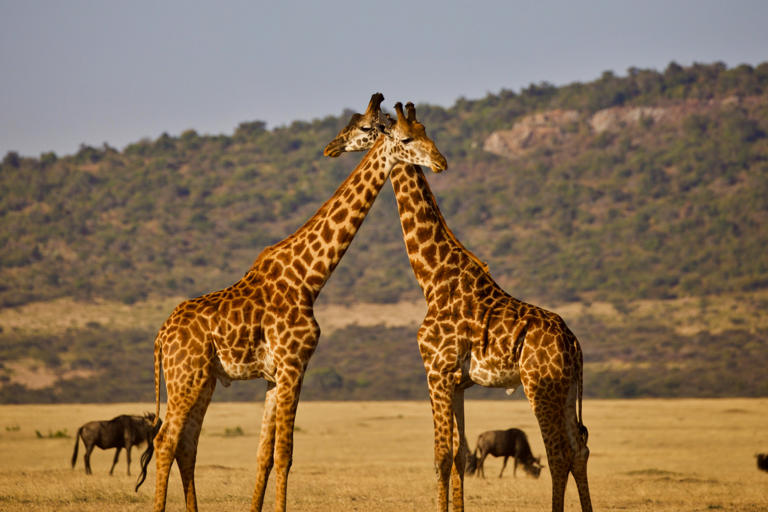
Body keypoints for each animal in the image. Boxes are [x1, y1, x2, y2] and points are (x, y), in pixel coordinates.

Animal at [144, 93, 448, 512]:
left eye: (425, 131)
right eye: (404, 138)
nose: (441, 161)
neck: (309, 278)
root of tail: (160, 337)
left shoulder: (275, 376)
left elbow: (264, 455)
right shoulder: (293, 365)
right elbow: (285, 454)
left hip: (201, 380)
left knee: (186, 445)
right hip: (184, 378)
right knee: (164, 441)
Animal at [323, 102, 592, 512]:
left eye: (364, 127)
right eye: (411, 134)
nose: (333, 146)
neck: (433, 279)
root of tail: (574, 343)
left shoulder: (435, 371)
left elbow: (441, 456)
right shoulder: (459, 382)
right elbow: (461, 455)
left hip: (541, 386)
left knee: (559, 453)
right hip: (565, 389)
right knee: (580, 449)